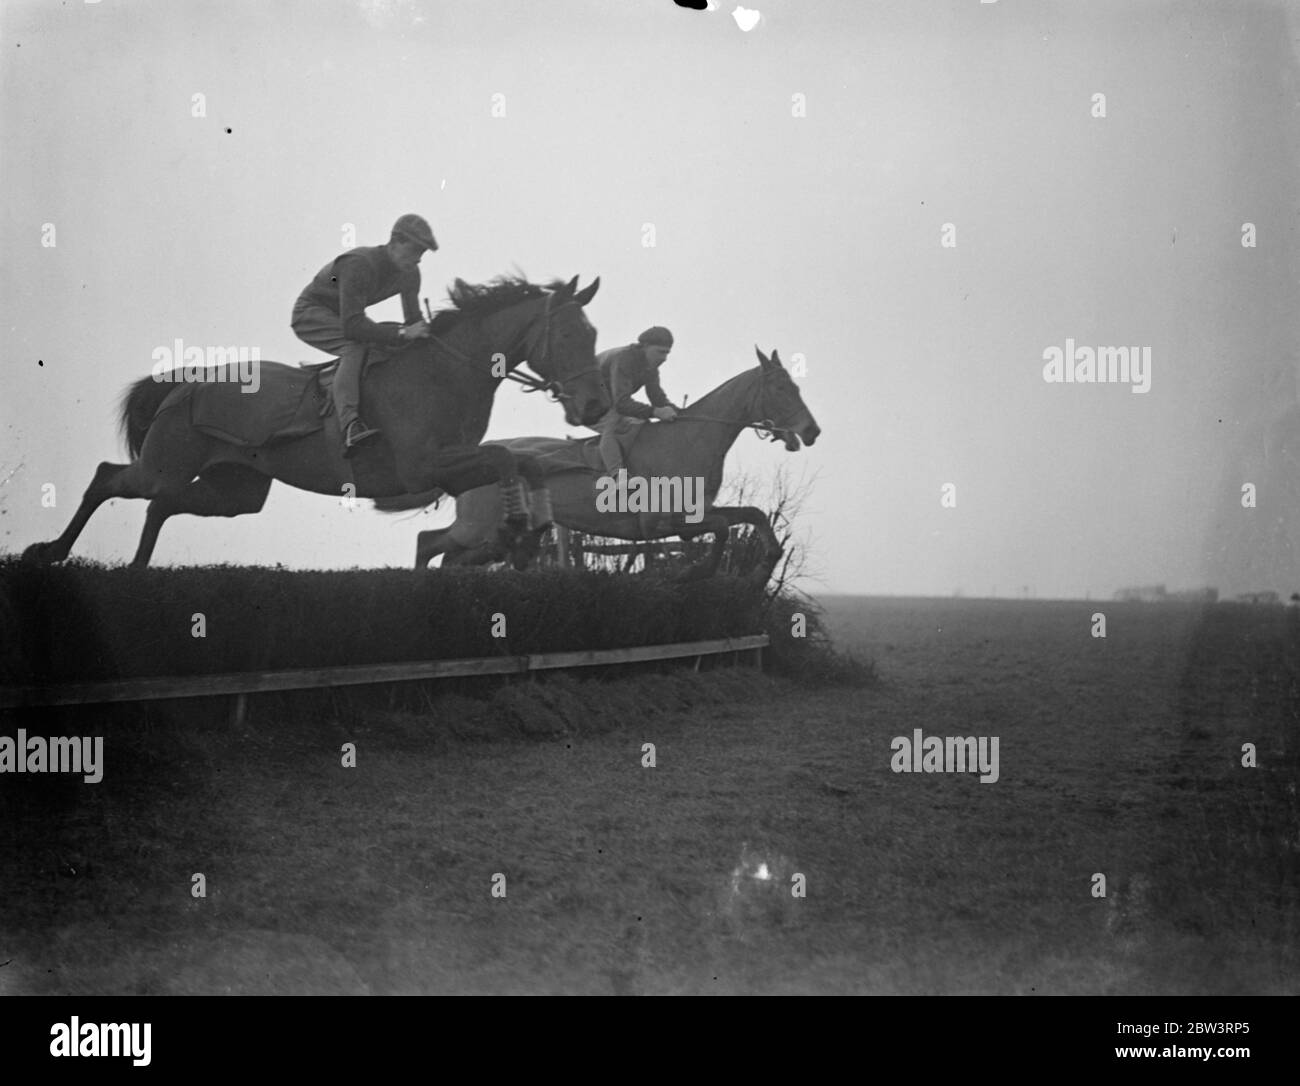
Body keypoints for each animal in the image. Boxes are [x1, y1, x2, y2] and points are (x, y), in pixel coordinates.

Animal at [25, 275, 603, 569]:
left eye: (593, 335)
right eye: (570, 335)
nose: (594, 407)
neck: (446, 371)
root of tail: (185, 382)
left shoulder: (454, 468)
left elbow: (525, 462)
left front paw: (528, 533)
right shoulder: (425, 468)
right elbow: (507, 456)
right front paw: (513, 534)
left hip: (236, 490)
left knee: (163, 504)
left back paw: (135, 570)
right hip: (167, 463)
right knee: (110, 479)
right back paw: (51, 552)